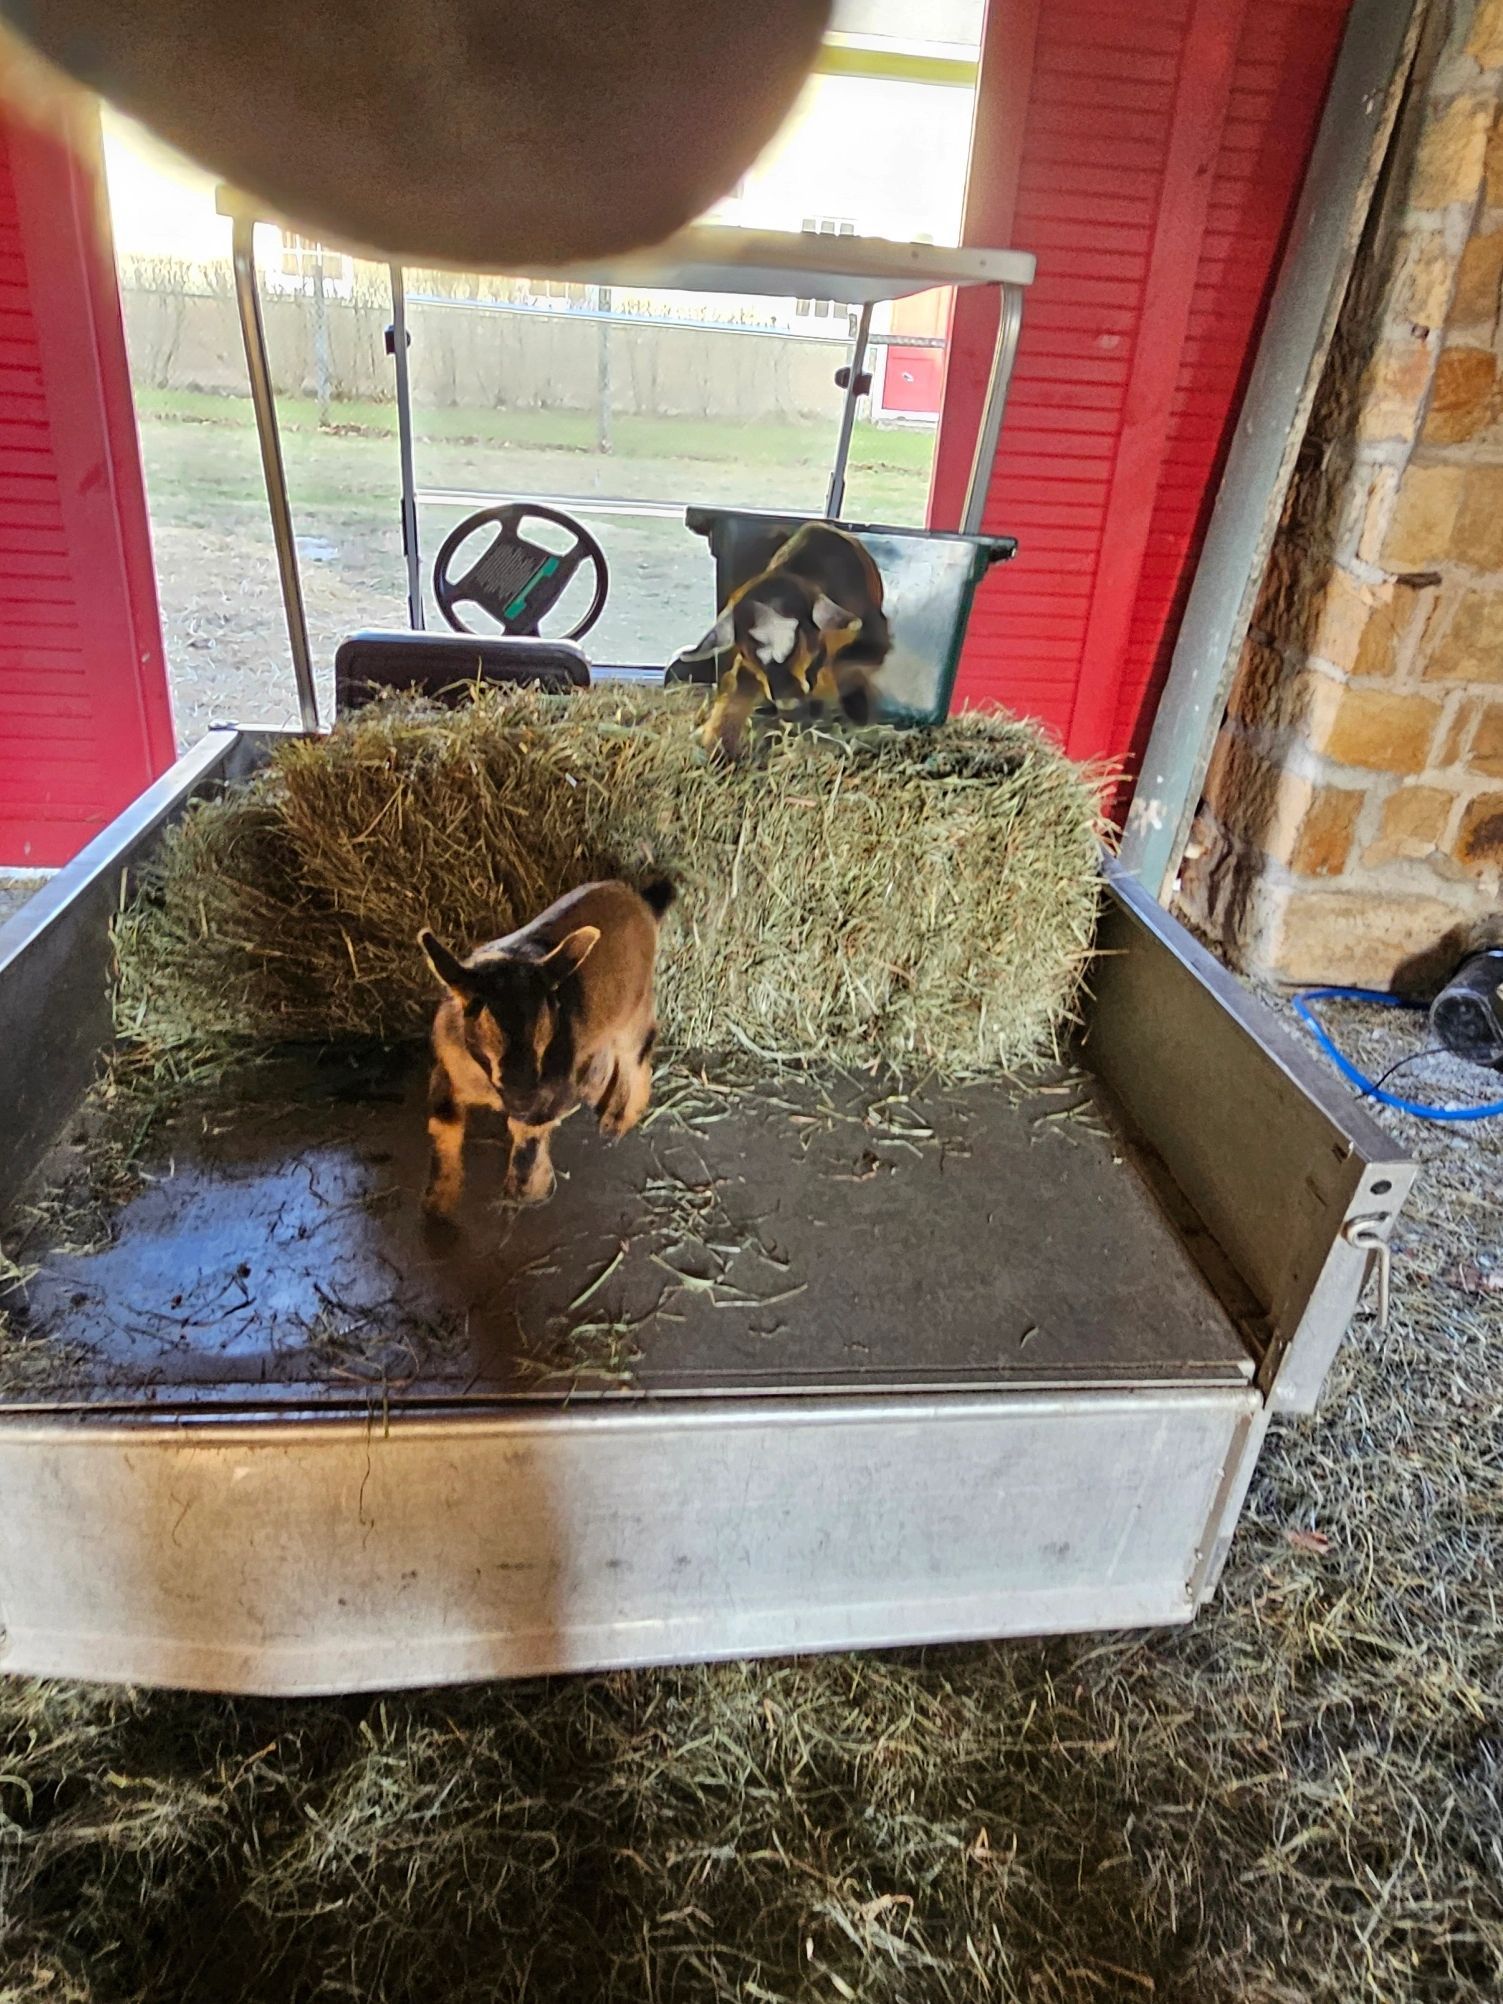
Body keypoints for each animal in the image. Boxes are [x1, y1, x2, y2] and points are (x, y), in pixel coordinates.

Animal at [418, 878, 672, 1214]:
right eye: (476, 1011)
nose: (523, 1096)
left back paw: (616, 1122)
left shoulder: (547, 1091)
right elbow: (443, 1123)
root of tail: (641, 899)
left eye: (546, 1017)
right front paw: (438, 1202)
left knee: (636, 1054)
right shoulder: (445, 1068)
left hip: (636, 1006)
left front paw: (527, 1193)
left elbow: (529, 1138)